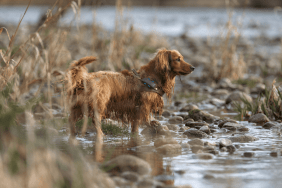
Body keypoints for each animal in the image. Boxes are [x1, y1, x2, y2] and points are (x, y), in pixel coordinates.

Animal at [66, 48, 194, 138]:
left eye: (182, 58)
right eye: (178, 59)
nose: (193, 67)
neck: (151, 78)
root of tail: (84, 80)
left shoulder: (135, 110)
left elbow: (137, 126)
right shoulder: (142, 107)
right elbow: (144, 122)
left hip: (78, 106)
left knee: (71, 120)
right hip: (100, 102)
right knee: (95, 120)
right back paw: (101, 135)